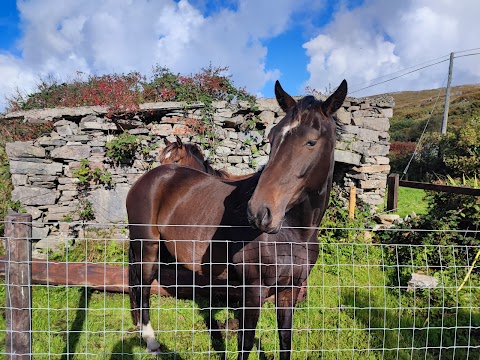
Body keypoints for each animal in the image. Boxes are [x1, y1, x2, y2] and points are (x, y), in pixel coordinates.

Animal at [125, 79, 346, 360]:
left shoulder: (289, 289)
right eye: (272, 137)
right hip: (147, 247)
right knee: (143, 288)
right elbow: (246, 342)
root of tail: (148, 179)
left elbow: (285, 339)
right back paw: (152, 343)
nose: (259, 212)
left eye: (311, 142)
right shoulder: (252, 290)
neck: (294, 232)